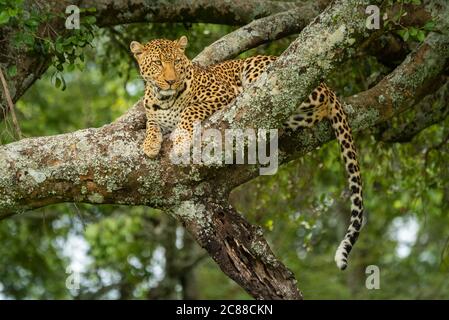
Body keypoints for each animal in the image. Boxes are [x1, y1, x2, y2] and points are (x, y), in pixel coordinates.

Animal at [130, 35, 364, 270]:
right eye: (158, 63)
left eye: (177, 62)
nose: (171, 81)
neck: (164, 99)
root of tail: (327, 85)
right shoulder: (154, 114)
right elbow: (151, 124)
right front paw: (150, 144)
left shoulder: (221, 94)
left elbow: (189, 109)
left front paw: (179, 140)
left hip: (258, 70)